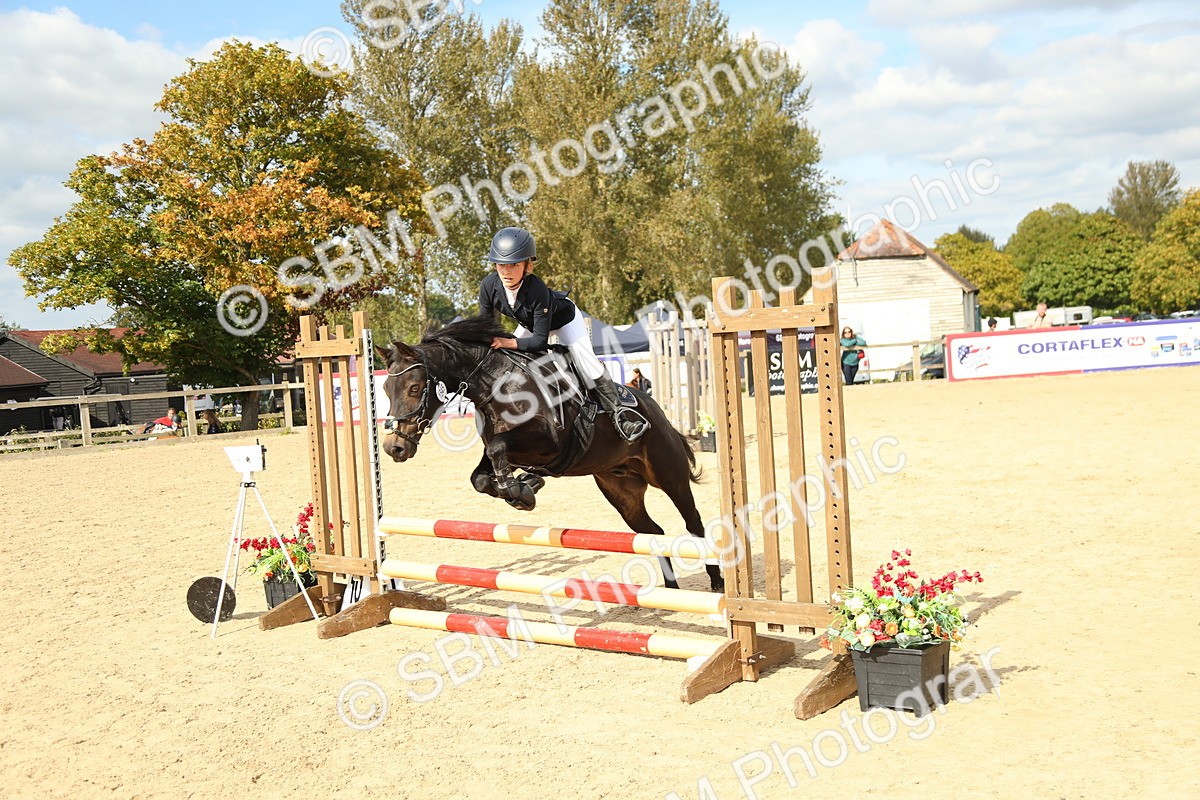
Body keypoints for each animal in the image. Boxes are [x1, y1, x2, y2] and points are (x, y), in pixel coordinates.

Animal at [377, 315, 724, 592]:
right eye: (385, 390)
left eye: (414, 387)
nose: (395, 447)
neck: (497, 384)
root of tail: (658, 413)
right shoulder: (502, 450)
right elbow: (481, 475)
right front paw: (523, 489)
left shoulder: (549, 443)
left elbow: (499, 448)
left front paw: (518, 489)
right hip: (621, 491)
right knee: (653, 532)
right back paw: (671, 588)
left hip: (669, 475)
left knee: (694, 524)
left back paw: (717, 580)